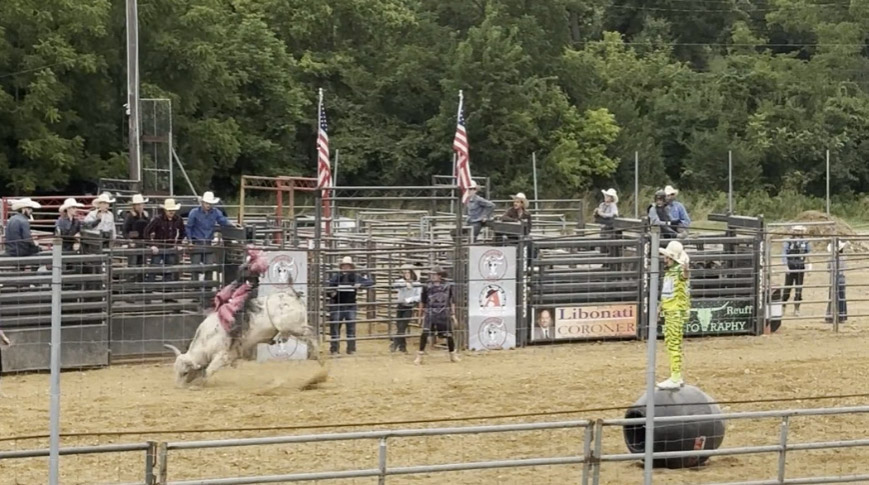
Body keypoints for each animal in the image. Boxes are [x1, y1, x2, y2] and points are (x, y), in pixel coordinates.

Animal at [163, 288, 316, 386]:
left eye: (184, 372)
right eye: (175, 371)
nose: (178, 387)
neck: (207, 339)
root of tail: (292, 295)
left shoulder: (222, 356)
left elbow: (208, 371)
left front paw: (201, 383)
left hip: (293, 327)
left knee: (311, 333)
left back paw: (319, 359)